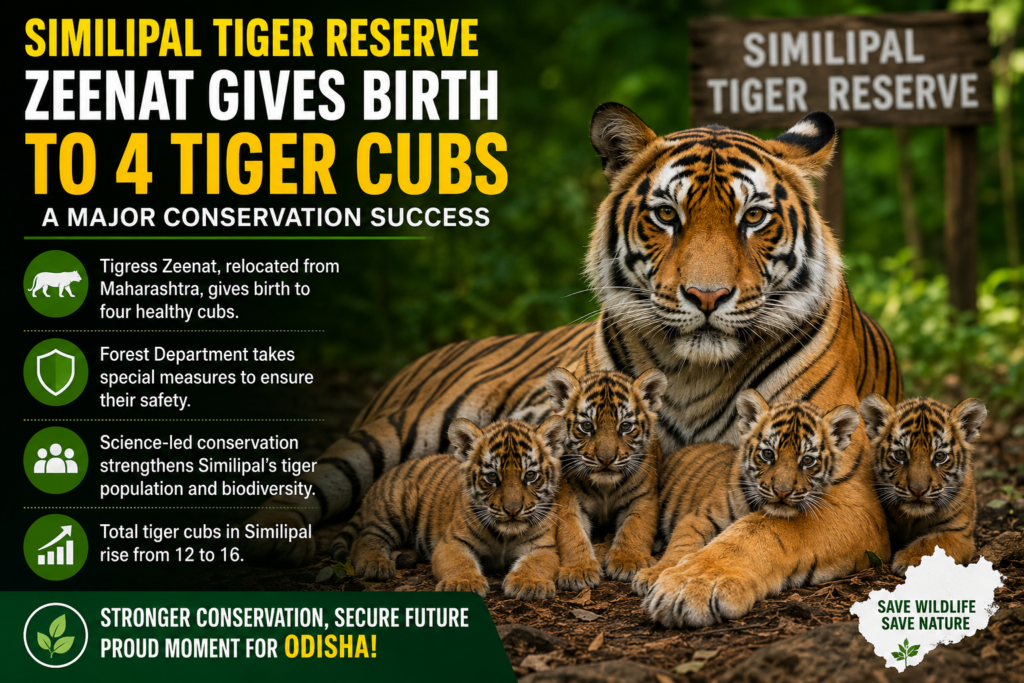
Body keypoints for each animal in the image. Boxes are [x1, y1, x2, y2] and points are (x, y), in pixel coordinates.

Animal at [328, 417, 566, 599]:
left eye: (530, 475)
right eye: (491, 477)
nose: (513, 510)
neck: (505, 537)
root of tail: (390, 472)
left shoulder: (542, 546)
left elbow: (536, 563)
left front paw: (529, 583)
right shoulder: (452, 542)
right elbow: (459, 562)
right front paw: (463, 583)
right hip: (397, 507)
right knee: (366, 538)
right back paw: (375, 564)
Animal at [543, 367, 667, 589]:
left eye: (625, 426)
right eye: (586, 426)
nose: (606, 459)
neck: (605, 488)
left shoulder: (643, 497)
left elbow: (636, 527)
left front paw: (629, 561)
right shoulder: (568, 500)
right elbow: (571, 533)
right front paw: (578, 570)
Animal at [636, 390, 859, 609]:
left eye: (807, 460)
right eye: (768, 454)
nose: (782, 492)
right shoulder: (697, 519)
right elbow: (679, 546)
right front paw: (653, 575)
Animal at [859, 394, 986, 577]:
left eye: (939, 456)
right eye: (900, 454)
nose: (918, 490)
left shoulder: (959, 534)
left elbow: (932, 543)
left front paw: (908, 559)